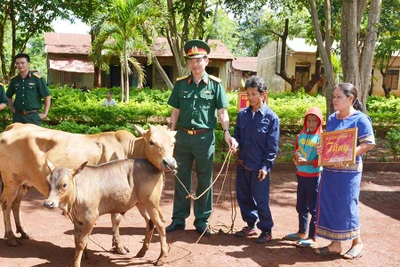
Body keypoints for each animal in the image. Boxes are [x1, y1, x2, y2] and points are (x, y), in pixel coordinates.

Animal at [0, 123, 175, 255]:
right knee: (6, 204)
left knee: (16, 204)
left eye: (173, 142)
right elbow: (116, 219)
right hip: (11, 181)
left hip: (25, 183)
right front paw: (118, 246)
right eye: (151, 142)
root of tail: (13, 127)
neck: (130, 150)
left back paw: (22, 232)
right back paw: (10, 237)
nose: (170, 163)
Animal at [44, 157, 172, 267]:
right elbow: (76, 241)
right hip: (141, 204)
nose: (48, 203)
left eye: (64, 184)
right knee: (150, 222)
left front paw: (76, 263)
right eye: (48, 182)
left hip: (152, 203)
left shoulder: (90, 218)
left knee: (160, 224)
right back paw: (142, 251)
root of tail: (156, 167)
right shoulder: (76, 220)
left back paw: (161, 257)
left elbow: (81, 243)